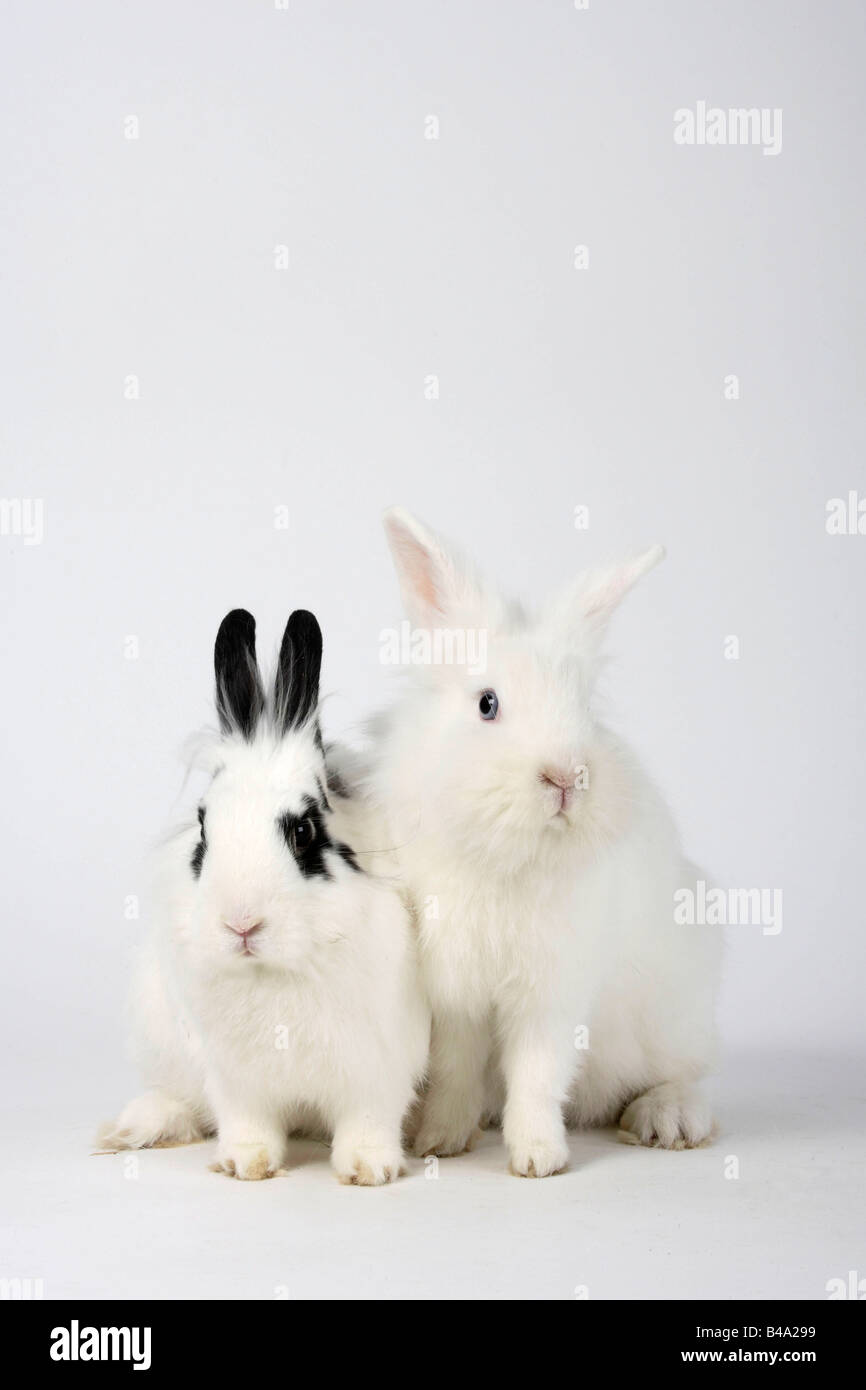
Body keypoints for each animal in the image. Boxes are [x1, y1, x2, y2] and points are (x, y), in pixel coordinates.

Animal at [100, 608, 430, 1184]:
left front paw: (368, 1170)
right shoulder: (235, 1078)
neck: (275, 970)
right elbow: (245, 1121)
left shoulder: (377, 1069)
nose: (241, 924)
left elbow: (369, 1119)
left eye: (303, 832)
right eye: (204, 829)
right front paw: (245, 1165)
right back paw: (137, 1125)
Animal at [353, 517, 722, 1178]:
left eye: (584, 708)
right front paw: (442, 1139)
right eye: (487, 704)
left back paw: (667, 1120)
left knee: (691, 1076)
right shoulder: (456, 992)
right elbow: (454, 1068)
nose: (566, 777)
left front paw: (537, 1158)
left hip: (676, 1011)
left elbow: (537, 1072)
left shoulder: (552, 990)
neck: (506, 856)